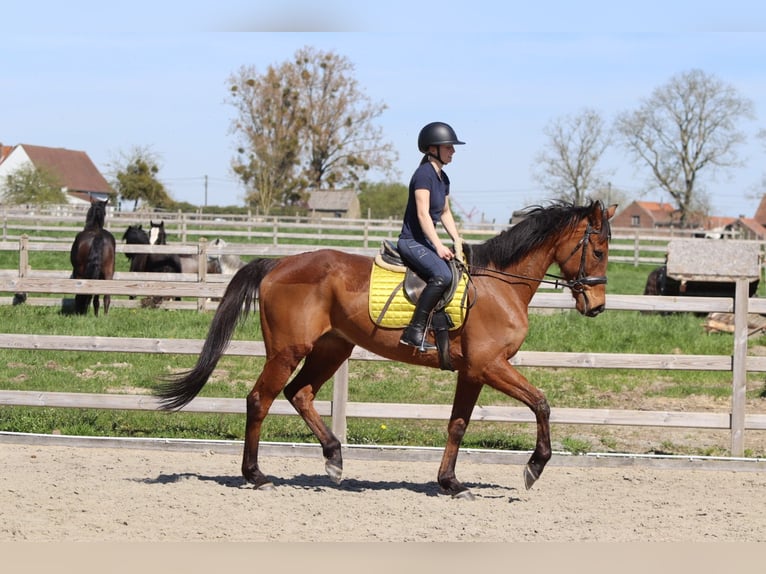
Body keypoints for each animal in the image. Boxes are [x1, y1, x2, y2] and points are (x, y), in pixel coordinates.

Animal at [156, 200, 616, 498]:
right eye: (597, 250)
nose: (597, 306)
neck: (499, 286)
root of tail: (278, 263)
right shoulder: (489, 365)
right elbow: (541, 403)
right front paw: (534, 467)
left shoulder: (472, 372)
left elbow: (458, 425)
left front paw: (450, 483)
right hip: (288, 351)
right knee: (260, 399)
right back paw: (256, 474)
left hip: (332, 349)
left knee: (299, 394)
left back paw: (334, 458)